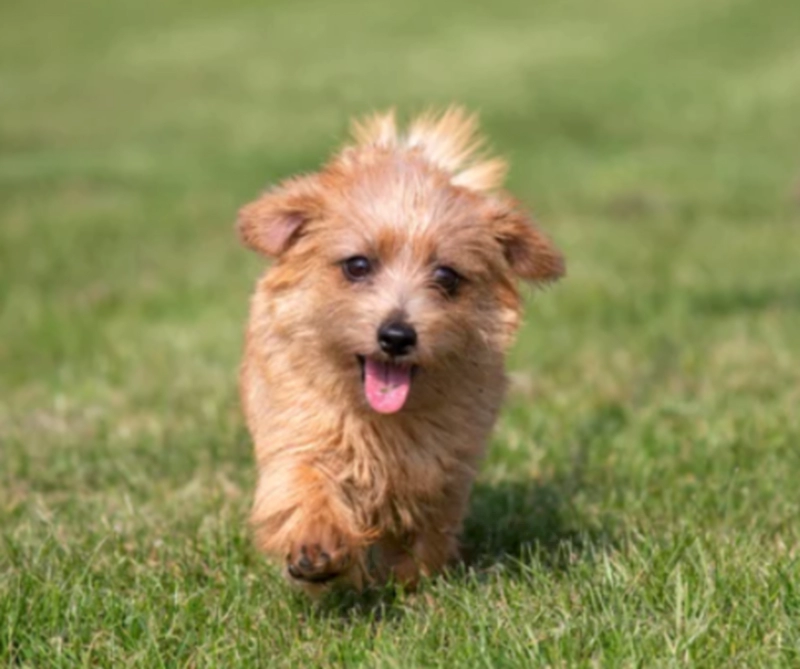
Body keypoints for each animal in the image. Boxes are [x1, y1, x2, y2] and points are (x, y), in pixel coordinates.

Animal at [234, 109, 564, 596]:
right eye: (357, 265)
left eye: (446, 276)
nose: (396, 336)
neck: (380, 424)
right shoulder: (300, 434)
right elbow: (306, 486)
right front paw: (317, 546)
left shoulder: (445, 465)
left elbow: (428, 527)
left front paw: (412, 583)